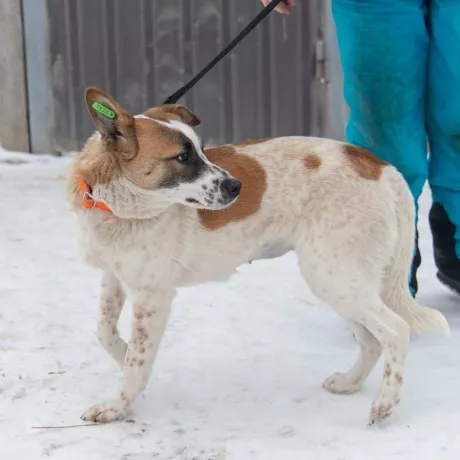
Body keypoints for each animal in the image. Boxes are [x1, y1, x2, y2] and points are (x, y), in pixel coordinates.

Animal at [67, 87, 449, 424]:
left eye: (201, 150)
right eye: (184, 157)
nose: (237, 187)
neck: (114, 206)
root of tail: (383, 167)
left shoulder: (152, 297)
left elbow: (137, 362)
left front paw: (117, 406)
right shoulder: (115, 276)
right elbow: (105, 331)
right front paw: (122, 355)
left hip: (335, 275)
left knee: (395, 330)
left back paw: (386, 403)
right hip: (342, 281)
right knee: (371, 340)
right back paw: (349, 383)